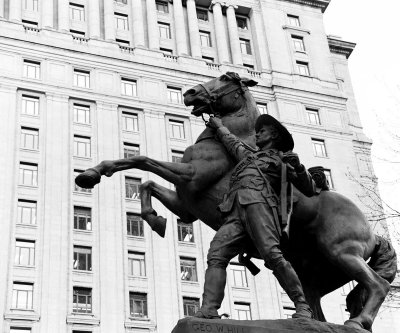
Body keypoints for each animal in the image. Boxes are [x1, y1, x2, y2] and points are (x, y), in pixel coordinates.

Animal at [76, 72, 396, 330]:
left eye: (226, 77)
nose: (190, 92)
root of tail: (373, 234)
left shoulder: (191, 176)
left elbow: (141, 160)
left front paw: (92, 174)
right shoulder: (185, 205)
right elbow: (146, 183)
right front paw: (154, 219)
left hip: (342, 253)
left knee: (377, 284)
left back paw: (357, 321)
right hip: (317, 274)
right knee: (316, 304)